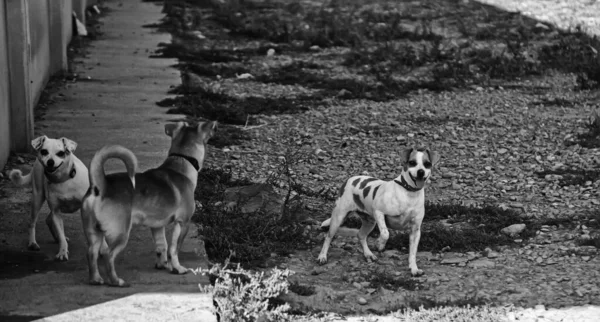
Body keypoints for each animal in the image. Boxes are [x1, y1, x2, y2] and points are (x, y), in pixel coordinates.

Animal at [81, 121, 217, 286]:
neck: (182, 163)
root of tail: (101, 185)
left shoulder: (157, 226)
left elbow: (162, 246)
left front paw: (163, 264)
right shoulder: (183, 223)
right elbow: (174, 249)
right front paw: (177, 268)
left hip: (94, 232)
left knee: (91, 253)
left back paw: (95, 279)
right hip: (120, 233)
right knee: (108, 255)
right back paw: (116, 281)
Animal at [316, 147, 438, 276]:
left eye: (427, 164)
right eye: (412, 162)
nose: (421, 172)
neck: (409, 193)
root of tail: (350, 179)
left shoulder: (415, 230)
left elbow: (413, 252)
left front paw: (414, 268)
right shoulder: (379, 212)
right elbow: (385, 233)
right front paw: (379, 244)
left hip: (369, 222)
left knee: (361, 235)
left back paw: (368, 254)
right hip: (339, 217)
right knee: (328, 237)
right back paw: (322, 256)